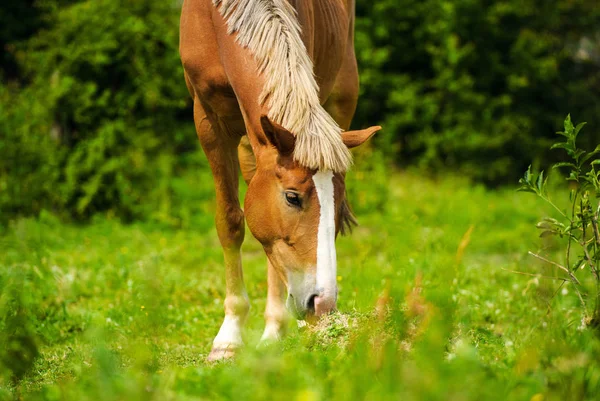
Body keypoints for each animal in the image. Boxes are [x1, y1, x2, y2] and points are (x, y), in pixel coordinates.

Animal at [180, 0, 382, 360]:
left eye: (337, 203)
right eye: (292, 197)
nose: (322, 304)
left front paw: (275, 330)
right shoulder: (207, 119)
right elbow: (231, 222)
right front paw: (228, 337)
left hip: (342, 94)